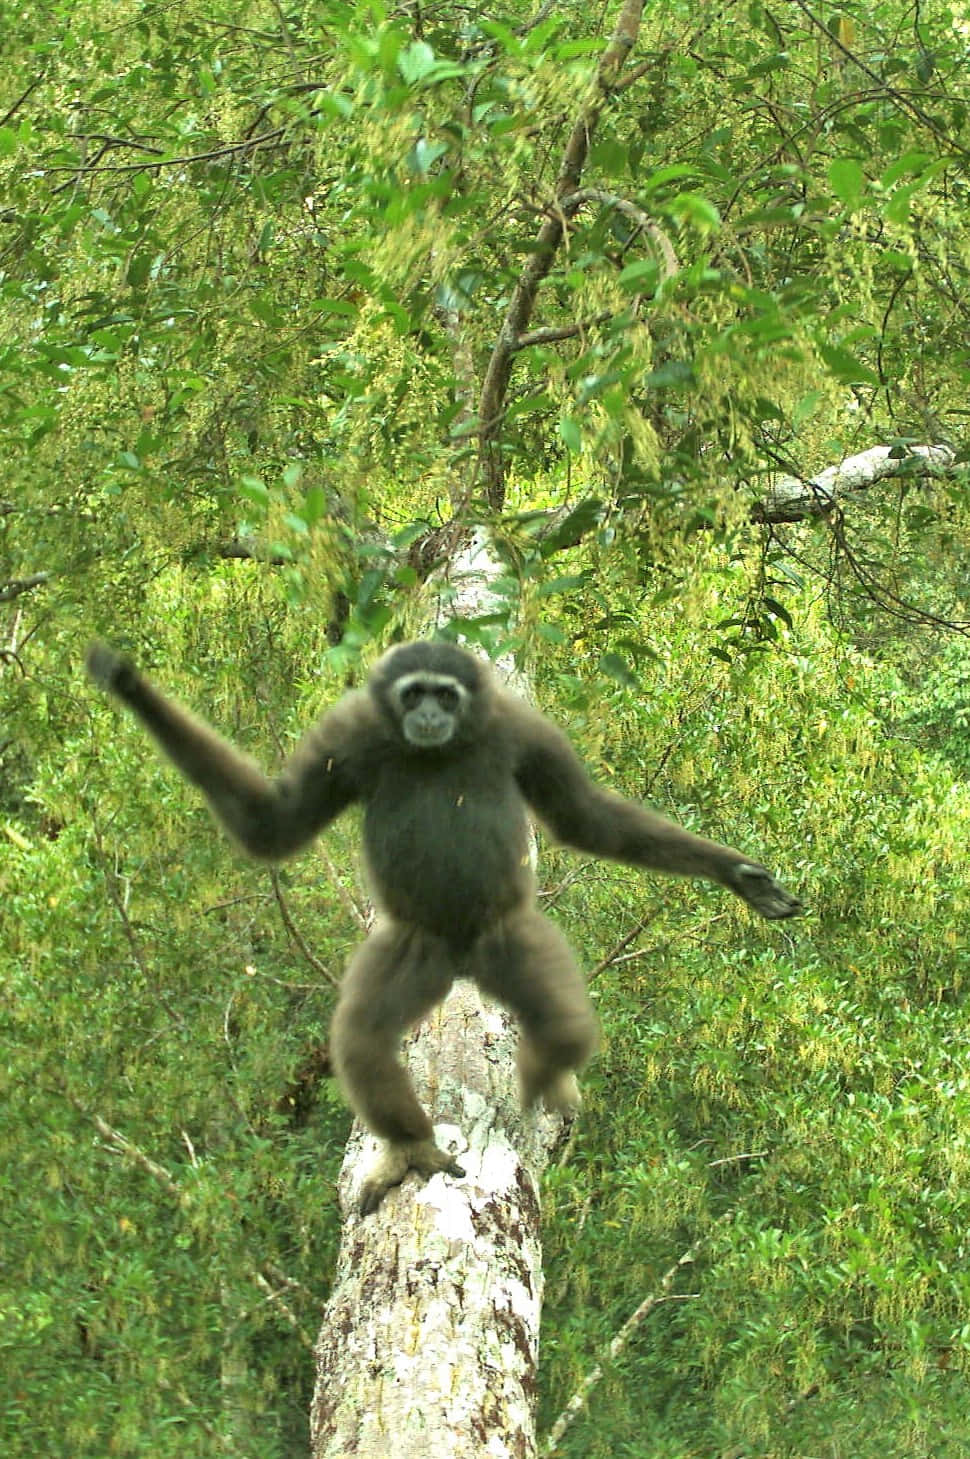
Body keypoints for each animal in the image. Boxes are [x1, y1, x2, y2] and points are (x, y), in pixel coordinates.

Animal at [85, 638, 801, 1214]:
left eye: (445, 694)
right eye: (414, 693)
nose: (428, 713)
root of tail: (460, 959)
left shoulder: (526, 729)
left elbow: (586, 819)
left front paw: (738, 877)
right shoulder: (349, 729)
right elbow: (274, 825)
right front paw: (127, 683)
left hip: (509, 935)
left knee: (564, 1024)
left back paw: (548, 1078)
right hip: (415, 945)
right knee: (362, 1040)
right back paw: (410, 1148)